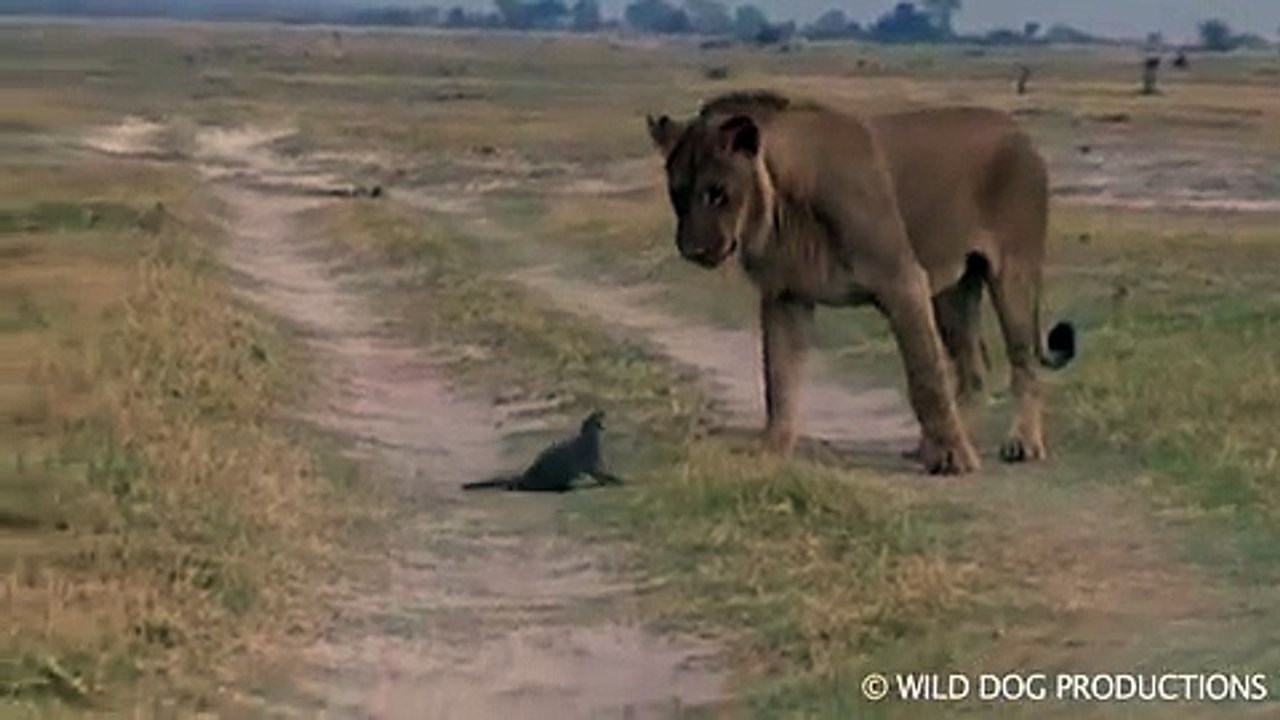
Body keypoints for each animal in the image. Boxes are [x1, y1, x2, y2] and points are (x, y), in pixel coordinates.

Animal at [645, 90, 1076, 475]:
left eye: (717, 193)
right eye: (677, 193)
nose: (693, 248)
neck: (782, 204)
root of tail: (1018, 131)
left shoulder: (903, 281)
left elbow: (926, 377)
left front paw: (955, 459)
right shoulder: (785, 296)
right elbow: (779, 379)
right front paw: (771, 449)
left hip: (1013, 273)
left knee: (1023, 363)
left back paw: (1021, 443)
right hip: (952, 291)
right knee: (972, 371)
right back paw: (935, 446)